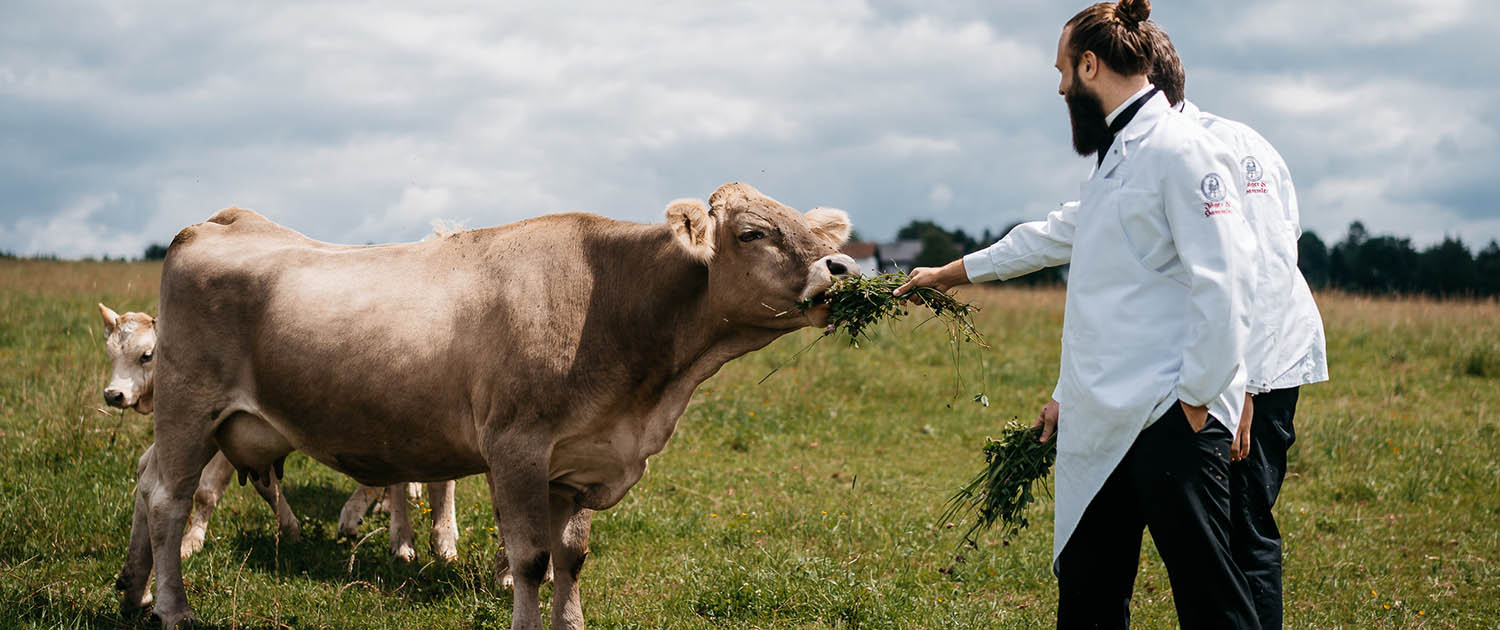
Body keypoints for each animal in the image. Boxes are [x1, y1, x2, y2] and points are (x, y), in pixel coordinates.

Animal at [120, 180, 858, 624]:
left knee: (147, 484)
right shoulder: (517, 448)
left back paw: (135, 591)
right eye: (754, 233)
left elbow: (571, 558)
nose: (845, 269)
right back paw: (174, 608)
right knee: (169, 498)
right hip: (190, 404)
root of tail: (223, 221)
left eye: (817, 233)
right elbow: (531, 560)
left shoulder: (578, 460)